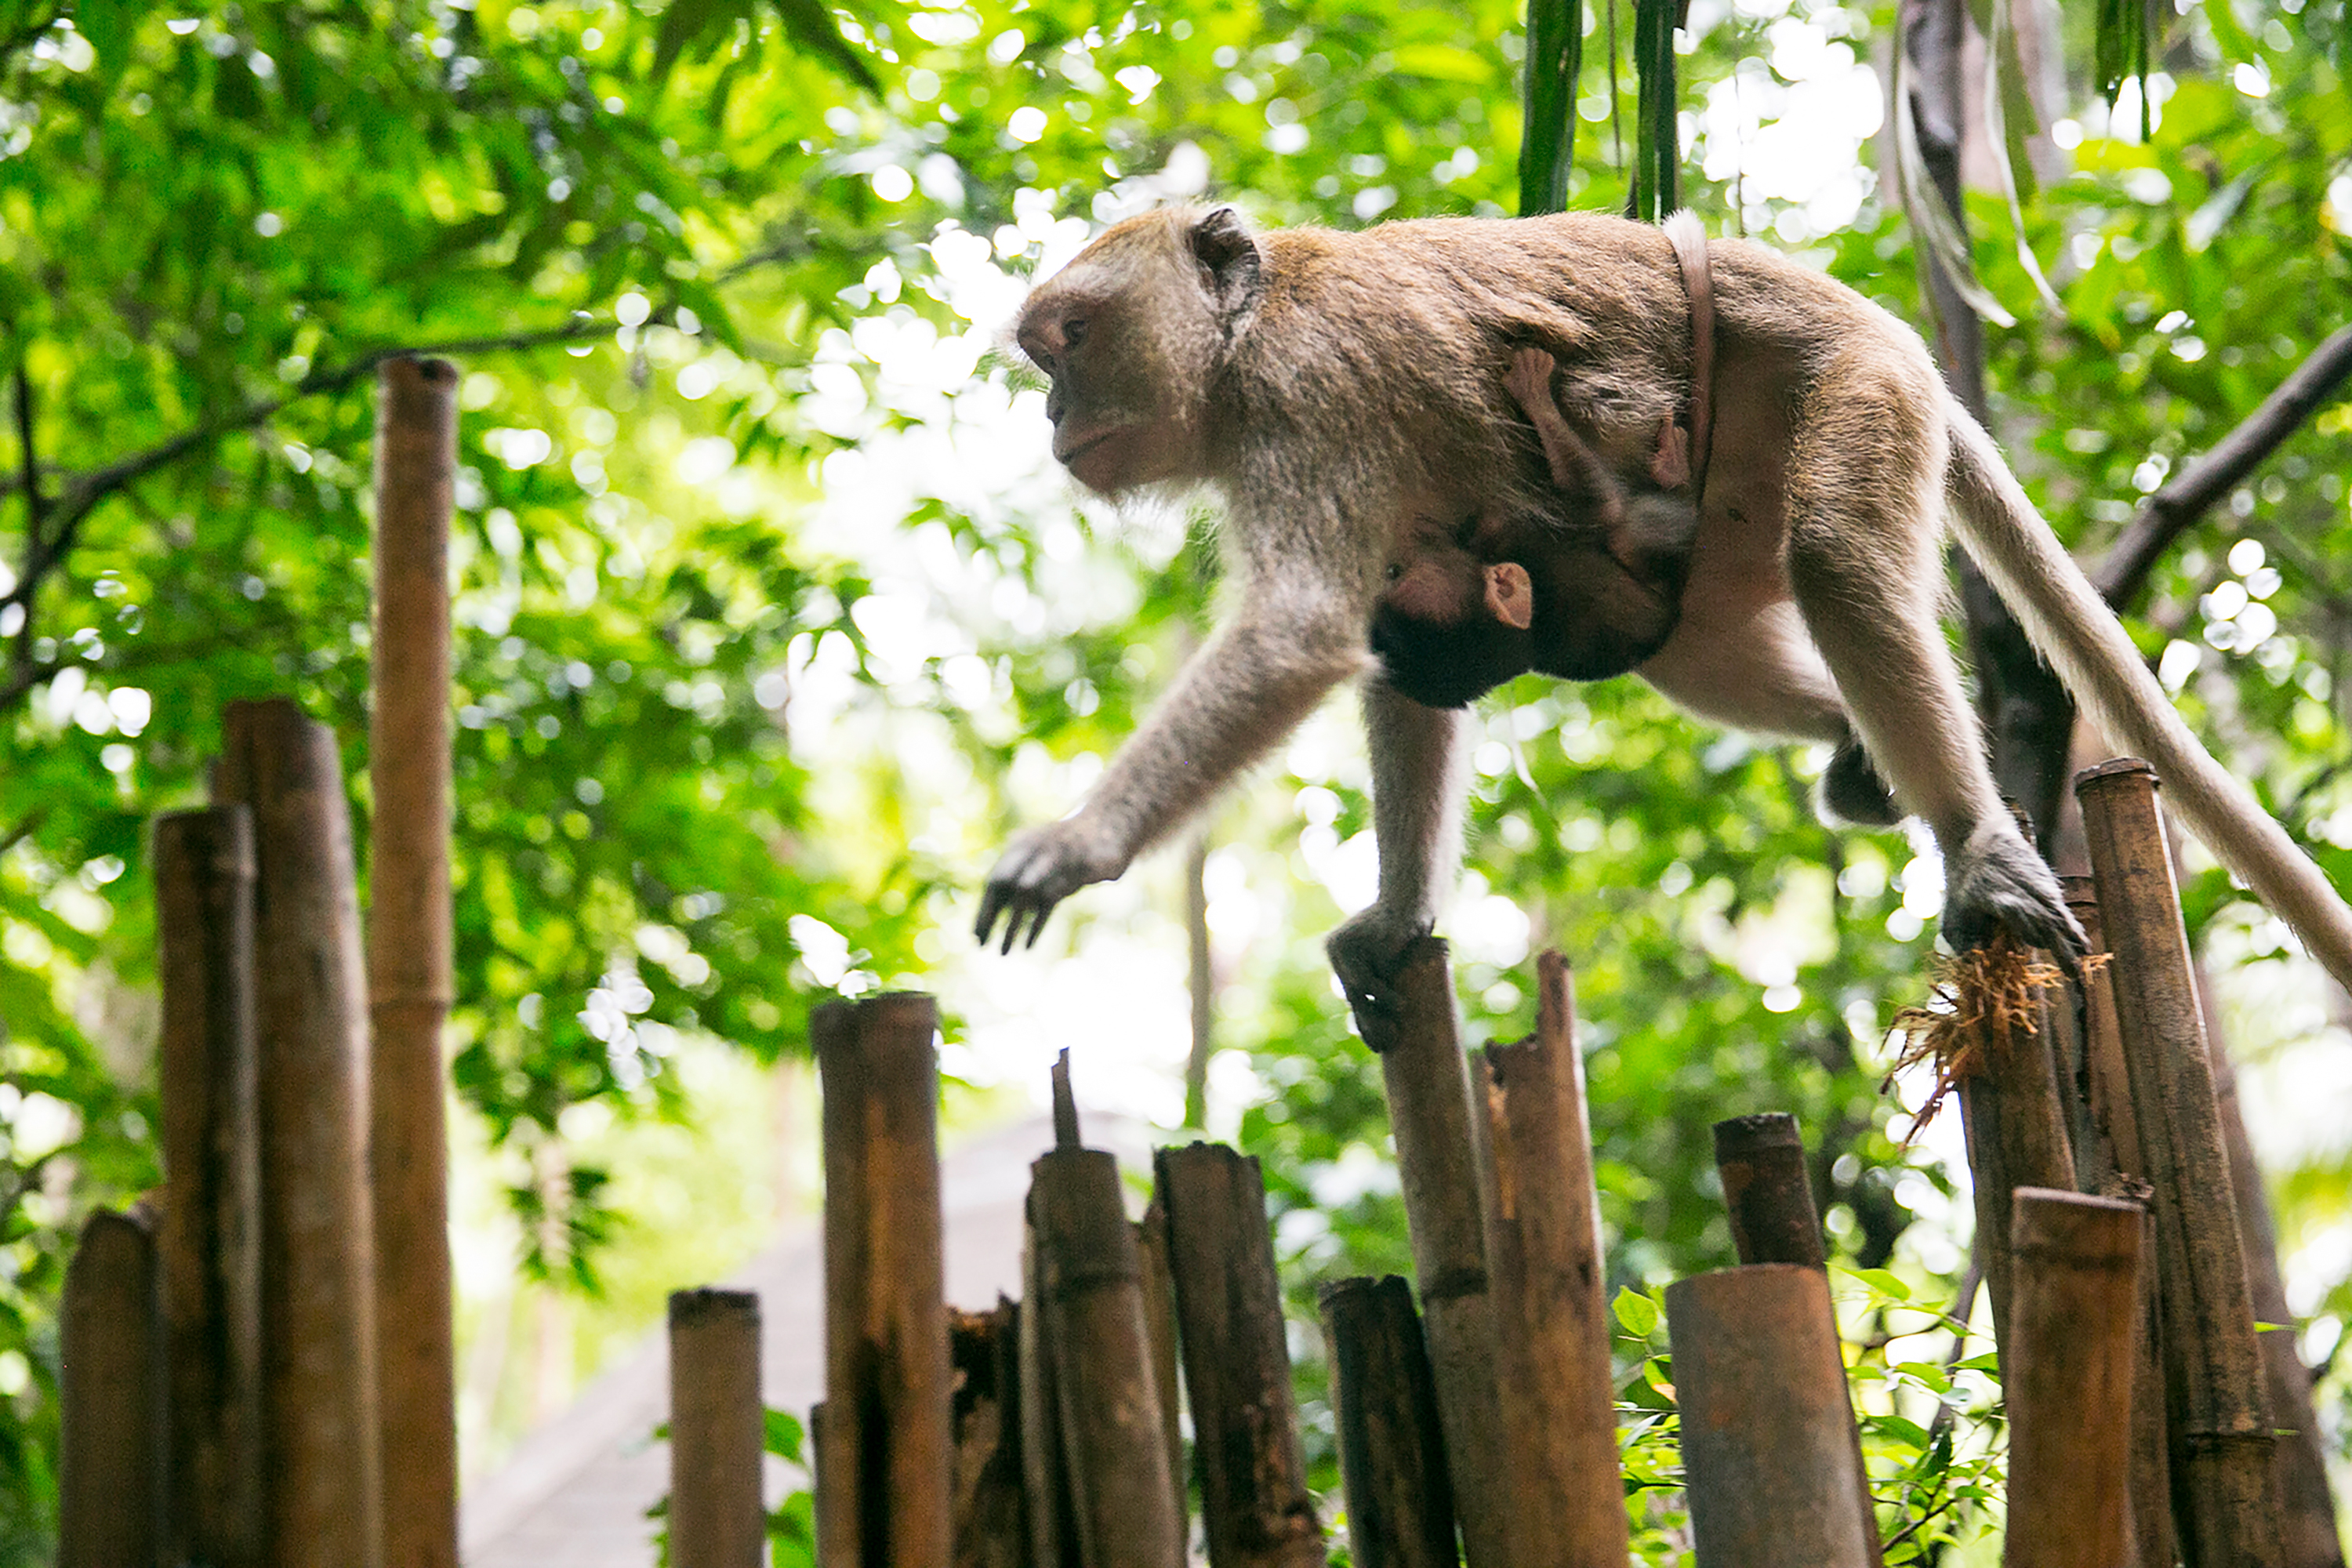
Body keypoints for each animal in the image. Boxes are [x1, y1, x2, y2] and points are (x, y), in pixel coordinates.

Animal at [970, 204, 2352, 1047]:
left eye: (1072, 339)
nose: (1049, 415)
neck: (1248, 337)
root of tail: (1882, 320)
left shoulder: (1310, 399)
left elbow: (1301, 632)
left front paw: (1074, 847)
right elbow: (1395, 646)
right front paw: (1397, 919)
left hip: (1858, 385)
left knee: (1836, 555)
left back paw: (1977, 837)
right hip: (1726, 510)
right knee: (1693, 639)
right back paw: (1861, 760)